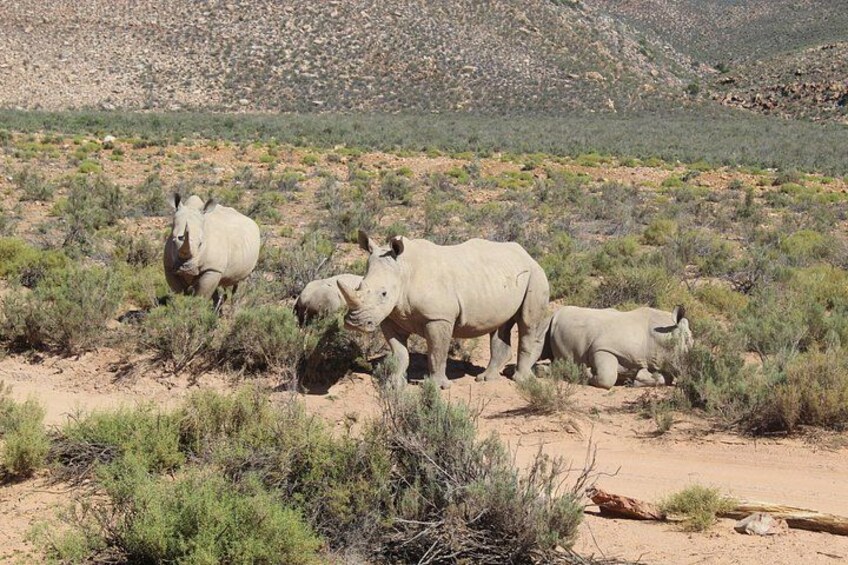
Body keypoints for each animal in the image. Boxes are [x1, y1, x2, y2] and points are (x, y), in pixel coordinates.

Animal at [338, 231, 550, 389]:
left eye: (383, 293)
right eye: (359, 285)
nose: (354, 323)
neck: (404, 270)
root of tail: (527, 254)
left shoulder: (438, 318)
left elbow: (436, 352)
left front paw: (437, 386)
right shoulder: (391, 317)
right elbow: (399, 353)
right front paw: (394, 384)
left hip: (536, 275)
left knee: (528, 323)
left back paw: (520, 380)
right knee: (500, 325)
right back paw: (486, 379)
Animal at [540, 305, 693, 389]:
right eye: (687, 342)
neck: (663, 336)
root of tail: (557, 312)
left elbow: (664, 378)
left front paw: (636, 379)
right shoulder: (603, 348)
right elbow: (607, 377)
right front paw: (586, 371)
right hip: (550, 321)